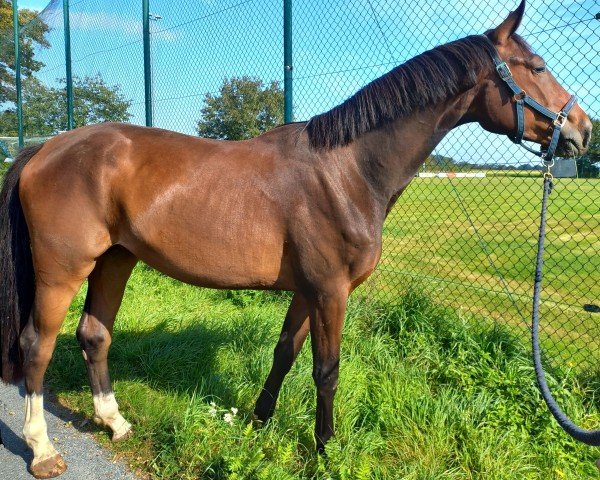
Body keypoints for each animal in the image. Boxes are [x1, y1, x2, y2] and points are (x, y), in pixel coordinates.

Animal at [0, 1, 592, 478]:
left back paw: (116, 422)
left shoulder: (309, 290)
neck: (348, 169)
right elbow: (326, 371)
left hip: (116, 259)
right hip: (63, 269)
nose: (583, 130)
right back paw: (43, 450)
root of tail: (46, 147)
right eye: (537, 67)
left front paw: (258, 422)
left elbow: (285, 353)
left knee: (94, 334)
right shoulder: (331, 291)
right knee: (37, 345)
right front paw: (325, 449)